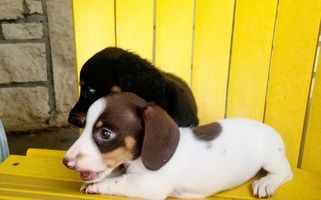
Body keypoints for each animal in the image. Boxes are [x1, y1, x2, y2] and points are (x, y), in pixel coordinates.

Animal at [63, 92, 292, 200]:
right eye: (85, 126)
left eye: (105, 133)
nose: (66, 162)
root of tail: (268, 127)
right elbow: (117, 174)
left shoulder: (149, 185)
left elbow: (118, 181)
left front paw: (96, 186)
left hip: (272, 159)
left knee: (286, 173)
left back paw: (266, 183)